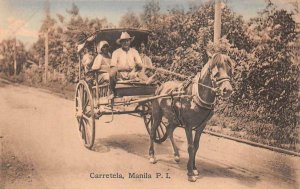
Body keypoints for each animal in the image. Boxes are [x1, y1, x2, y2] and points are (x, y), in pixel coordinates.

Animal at [149, 52, 236, 182]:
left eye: (230, 69)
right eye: (215, 70)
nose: (228, 90)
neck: (195, 96)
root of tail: (161, 86)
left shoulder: (201, 126)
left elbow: (196, 146)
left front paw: (194, 168)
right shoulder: (188, 126)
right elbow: (190, 147)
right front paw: (190, 173)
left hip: (175, 119)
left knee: (169, 130)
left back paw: (176, 155)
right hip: (157, 115)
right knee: (153, 131)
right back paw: (152, 155)